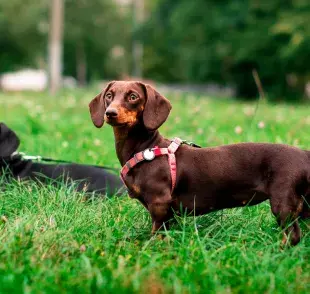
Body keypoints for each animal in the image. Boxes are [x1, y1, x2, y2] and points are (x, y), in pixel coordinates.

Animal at [88, 81, 308, 246]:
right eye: (109, 95)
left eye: (133, 97)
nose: (110, 113)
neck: (146, 147)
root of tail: (305, 154)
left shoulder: (159, 204)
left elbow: (156, 233)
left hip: (284, 202)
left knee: (294, 236)